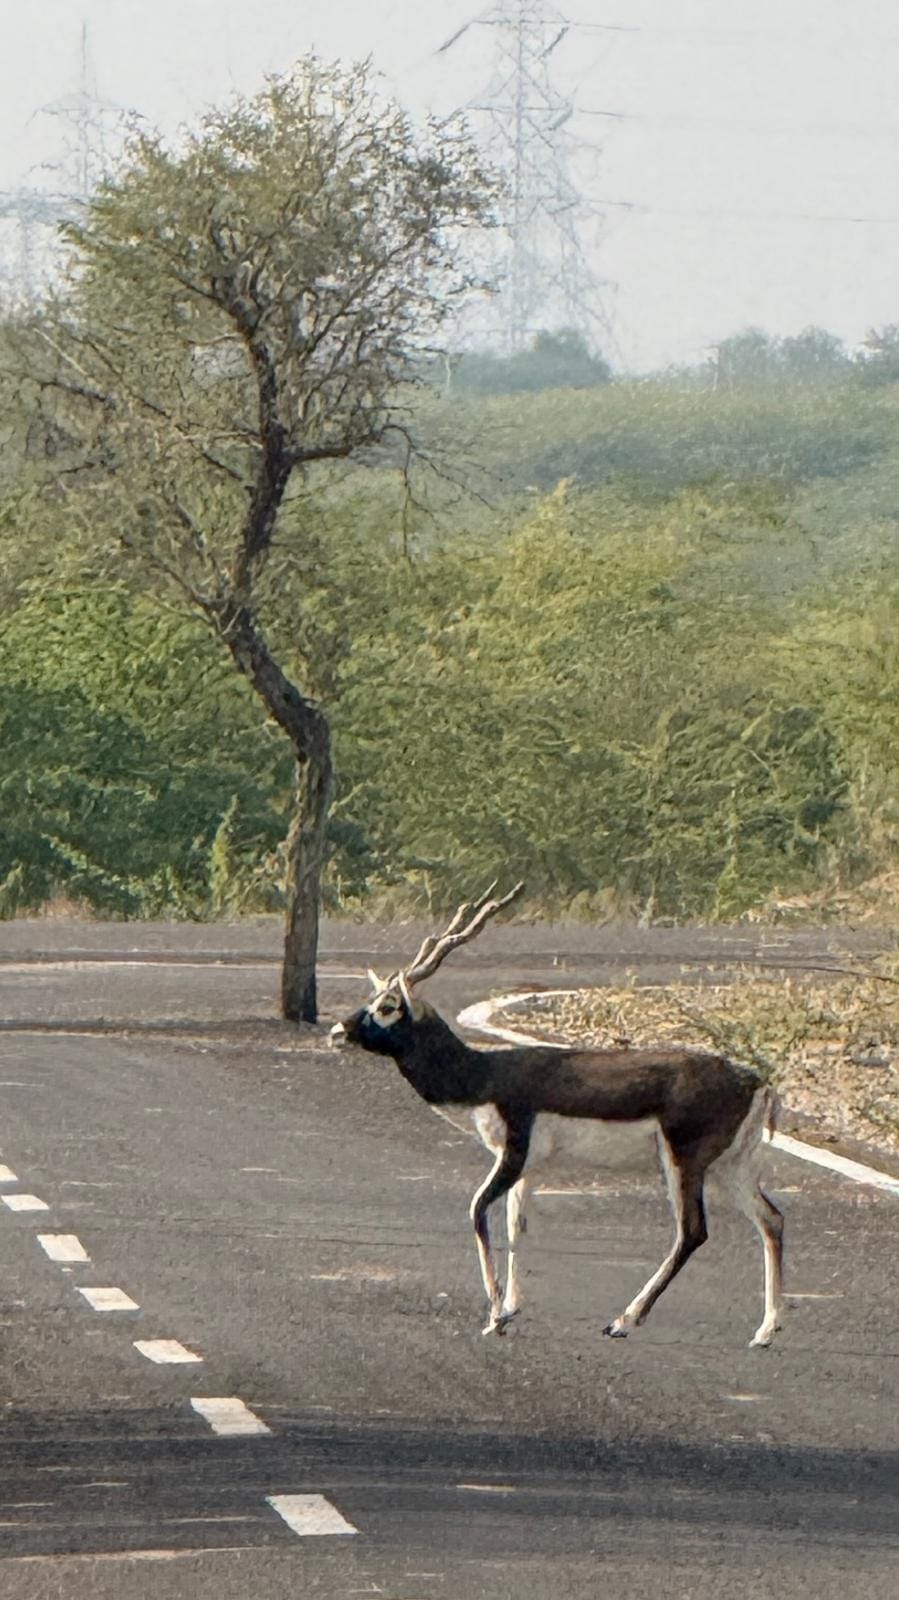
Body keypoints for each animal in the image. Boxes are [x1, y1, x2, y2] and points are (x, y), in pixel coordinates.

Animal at [330, 883, 785, 1348]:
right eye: (370, 999)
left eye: (388, 1006)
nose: (337, 1032)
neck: (484, 1074)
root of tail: (755, 1081)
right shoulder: (530, 1165)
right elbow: (517, 1224)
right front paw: (510, 1309)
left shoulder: (513, 1152)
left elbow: (477, 1210)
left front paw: (493, 1315)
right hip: (730, 1166)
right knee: (771, 1219)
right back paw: (765, 1330)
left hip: (684, 1160)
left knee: (692, 1230)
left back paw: (623, 1320)